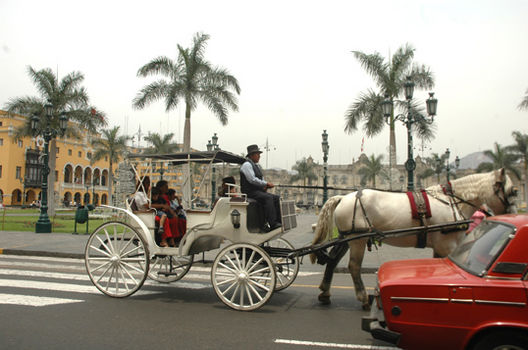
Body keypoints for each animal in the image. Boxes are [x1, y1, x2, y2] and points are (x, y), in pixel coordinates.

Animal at [312, 170, 516, 308]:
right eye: (513, 191)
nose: (513, 217)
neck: (451, 202)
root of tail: (343, 197)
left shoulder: (440, 247)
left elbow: (439, 272)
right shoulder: (447, 245)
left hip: (347, 237)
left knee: (332, 261)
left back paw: (325, 293)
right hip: (357, 239)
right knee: (354, 266)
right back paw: (362, 298)